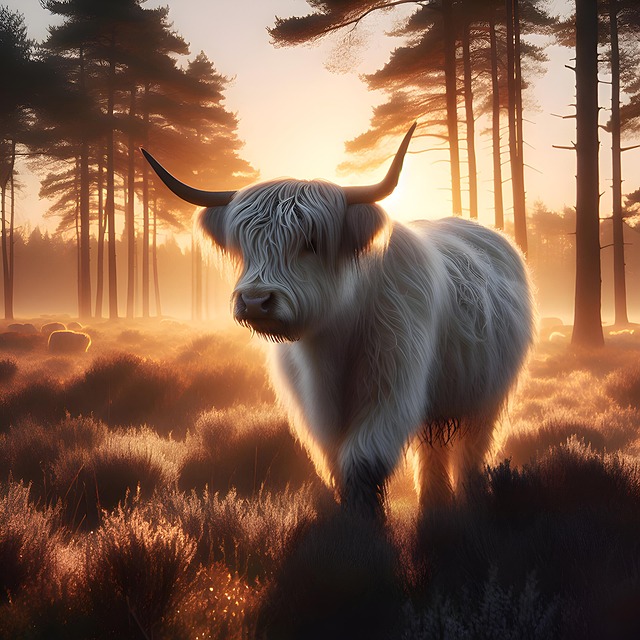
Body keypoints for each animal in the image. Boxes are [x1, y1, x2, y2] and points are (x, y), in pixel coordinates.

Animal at [142, 124, 535, 517]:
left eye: (312, 242)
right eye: (245, 245)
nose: (255, 301)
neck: (335, 340)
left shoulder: (392, 391)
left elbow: (361, 461)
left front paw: (365, 522)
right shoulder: (315, 406)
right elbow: (336, 461)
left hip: (487, 397)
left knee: (473, 450)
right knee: (433, 451)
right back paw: (434, 504)